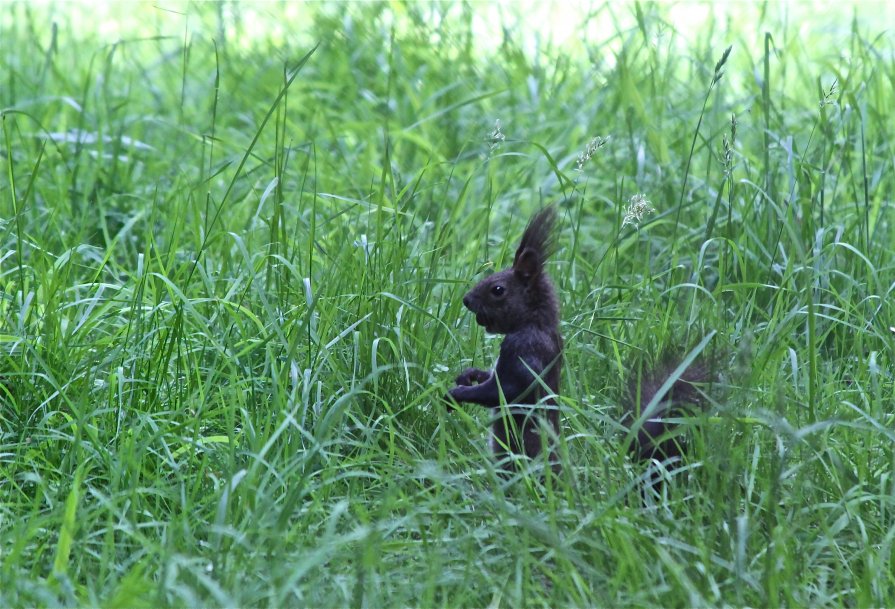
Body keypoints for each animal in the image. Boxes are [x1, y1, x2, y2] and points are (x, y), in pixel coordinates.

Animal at [446, 204, 564, 470]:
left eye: (497, 290)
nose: (466, 300)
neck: (533, 322)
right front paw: (469, 375)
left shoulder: (525, 351)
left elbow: (506, 390)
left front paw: (457, 394)